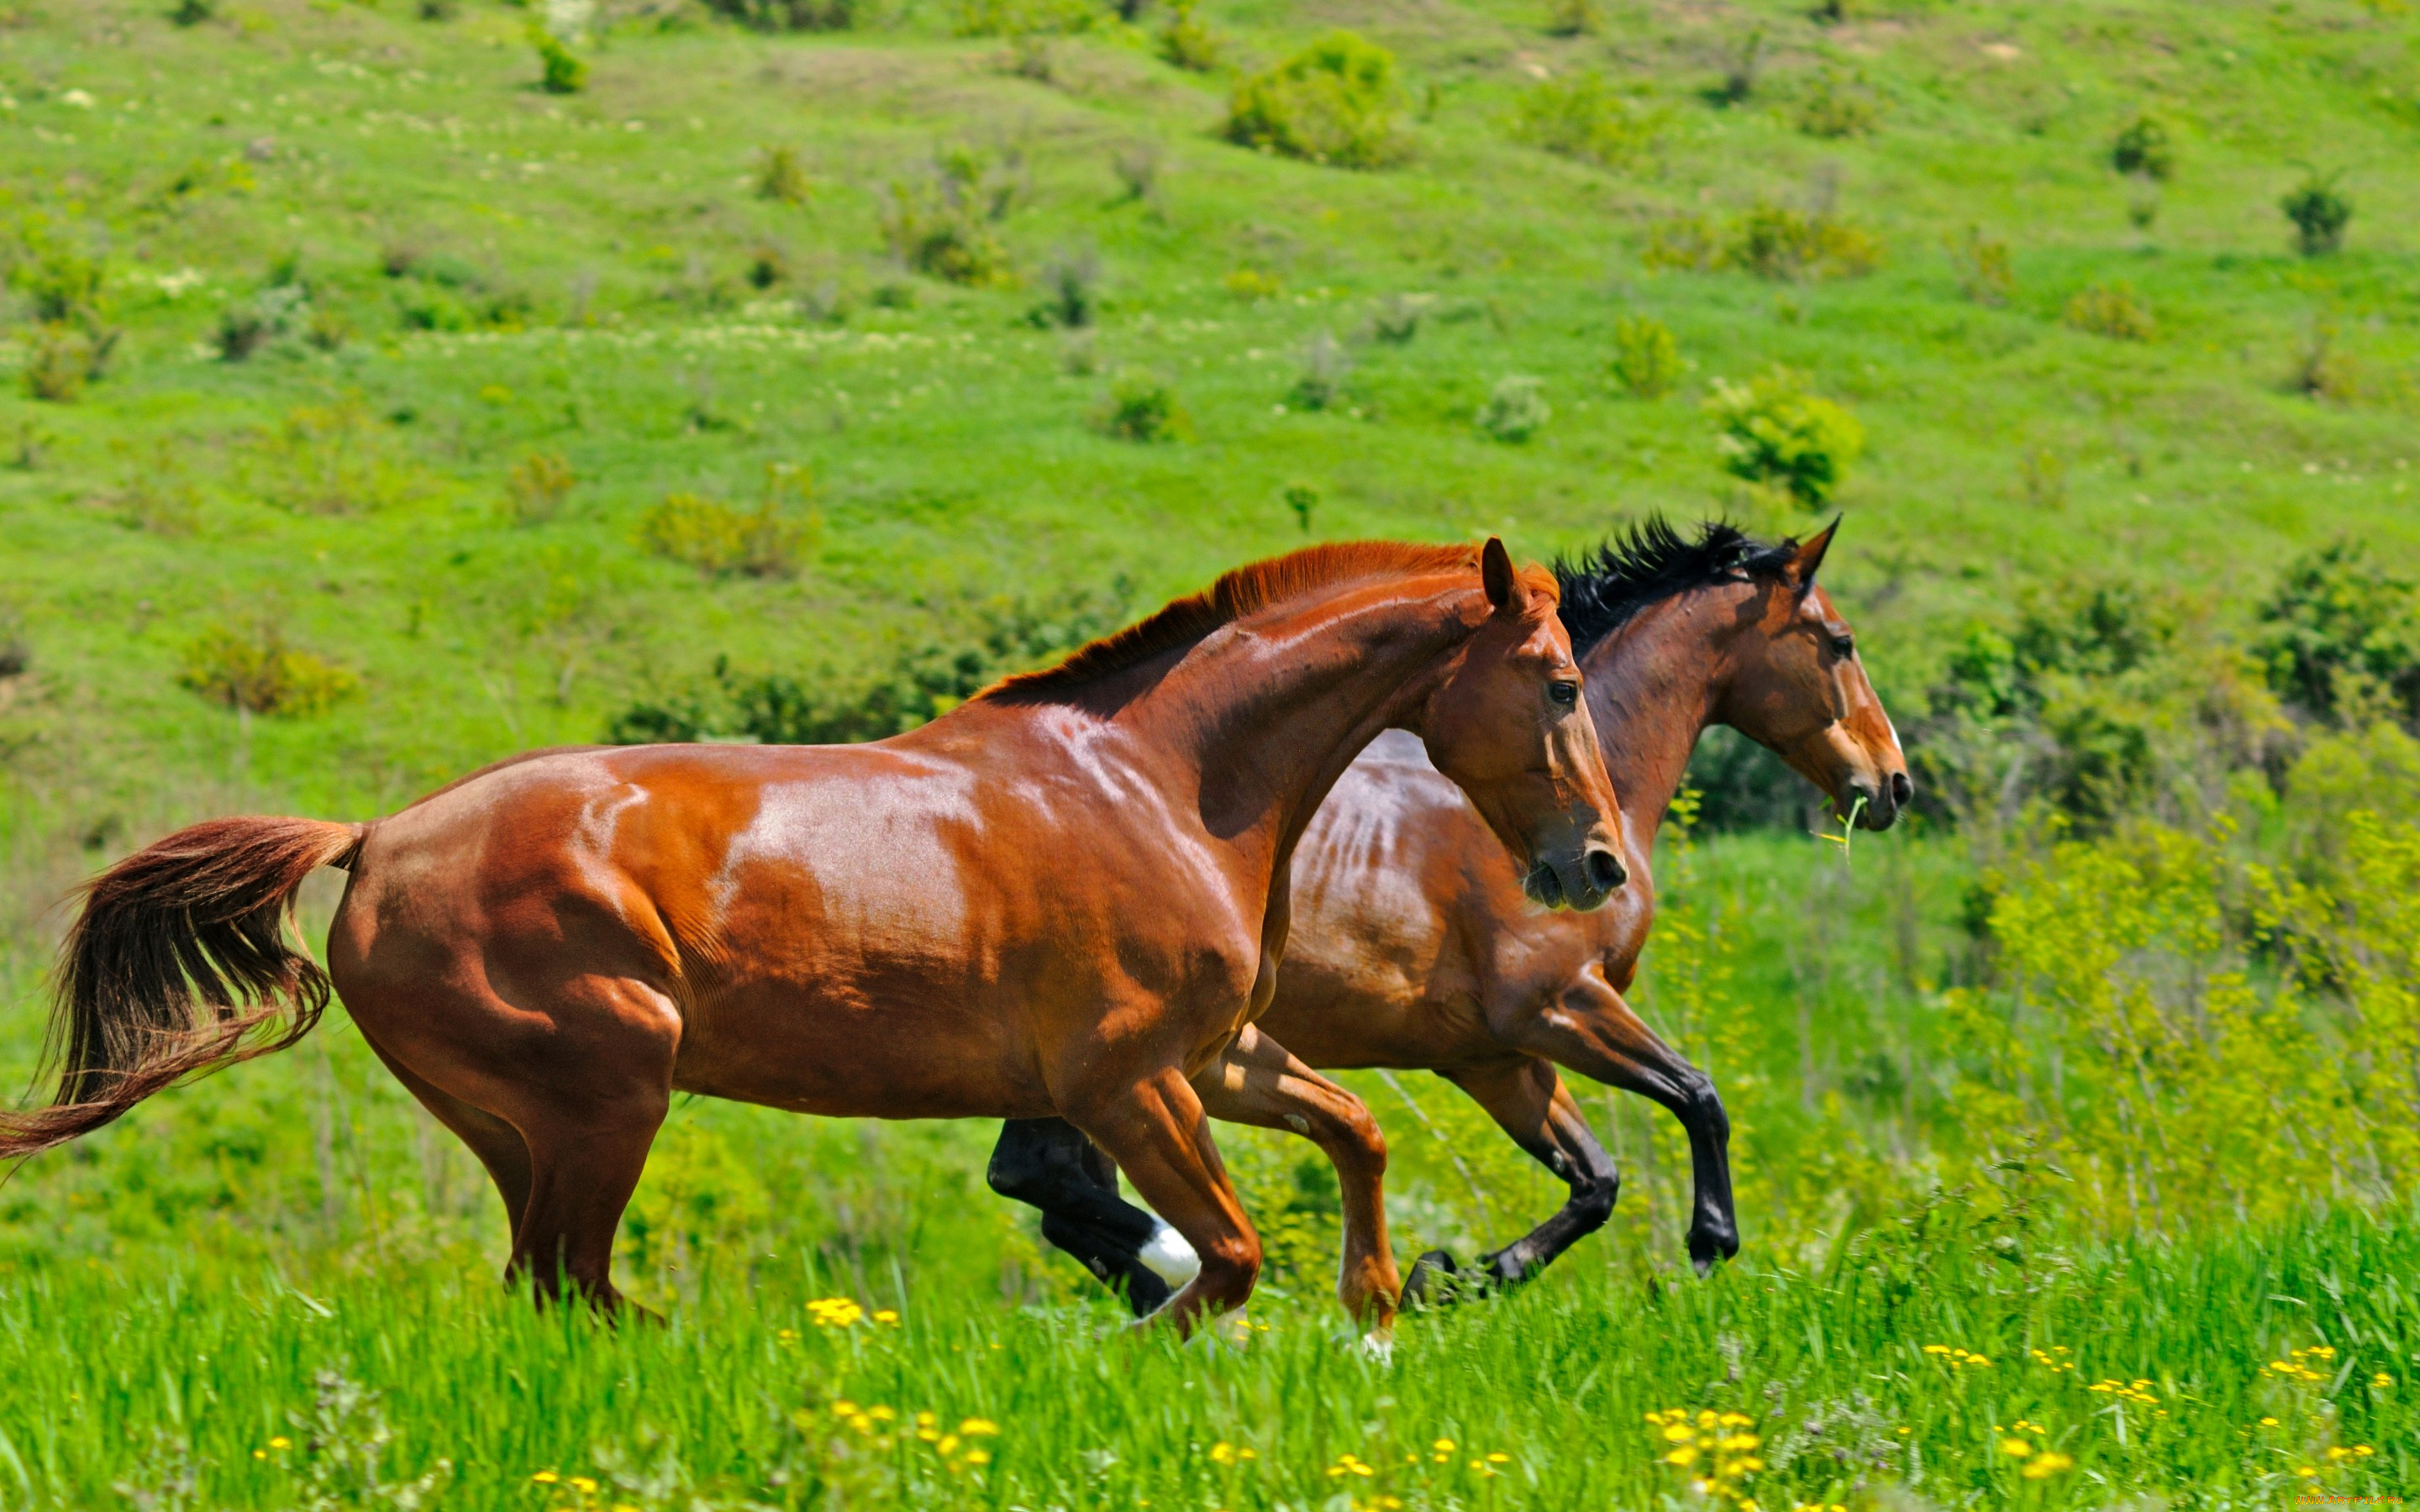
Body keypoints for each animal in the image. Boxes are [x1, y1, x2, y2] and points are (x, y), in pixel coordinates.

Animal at [4, 539, 1626, 1335]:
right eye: (1557, 682)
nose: (1598, 862)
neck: (1160, 785)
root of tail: (375, 838)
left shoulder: (1217, 1060)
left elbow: (1357, 1133)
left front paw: (1380, 1317)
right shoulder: (1126, 1085)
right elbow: (1219, 1260)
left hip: (522, 1129)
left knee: (549, 1292)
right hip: (610, 1096)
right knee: (575, 1290)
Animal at [982, 517, 1907, 1306]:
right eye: (1840, 643)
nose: (1894, 784)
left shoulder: (1492, 1058)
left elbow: (1596, 1181)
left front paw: (1451, 1278)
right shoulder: (1557, 1006)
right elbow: (1697, 1097)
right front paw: (1706, 1245)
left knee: (1047, 1189)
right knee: (1042, 1180)